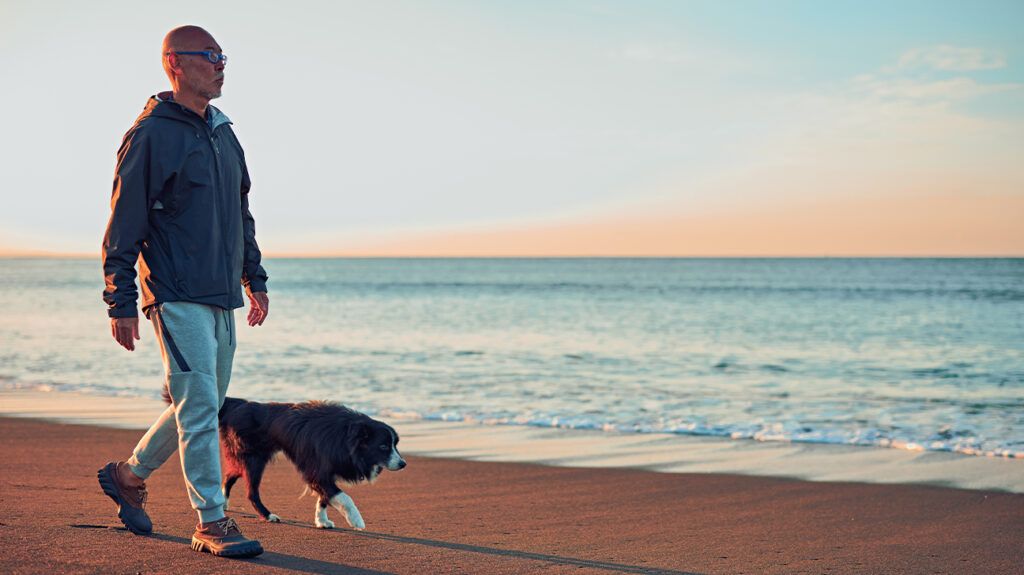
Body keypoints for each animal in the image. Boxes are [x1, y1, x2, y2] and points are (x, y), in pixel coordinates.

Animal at [218, 396, 405, 527]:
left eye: (395, 444)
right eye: (383, 446)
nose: (403, 464)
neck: (345, 436)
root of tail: (240, 405)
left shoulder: (325, 472)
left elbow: (324, 497)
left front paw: (321, 521)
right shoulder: (318, 471)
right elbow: (343, 497)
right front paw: (356, 519)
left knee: (230, 475)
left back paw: (223, 501)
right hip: (254, 459)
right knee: (251, 492)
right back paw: (268, 515)